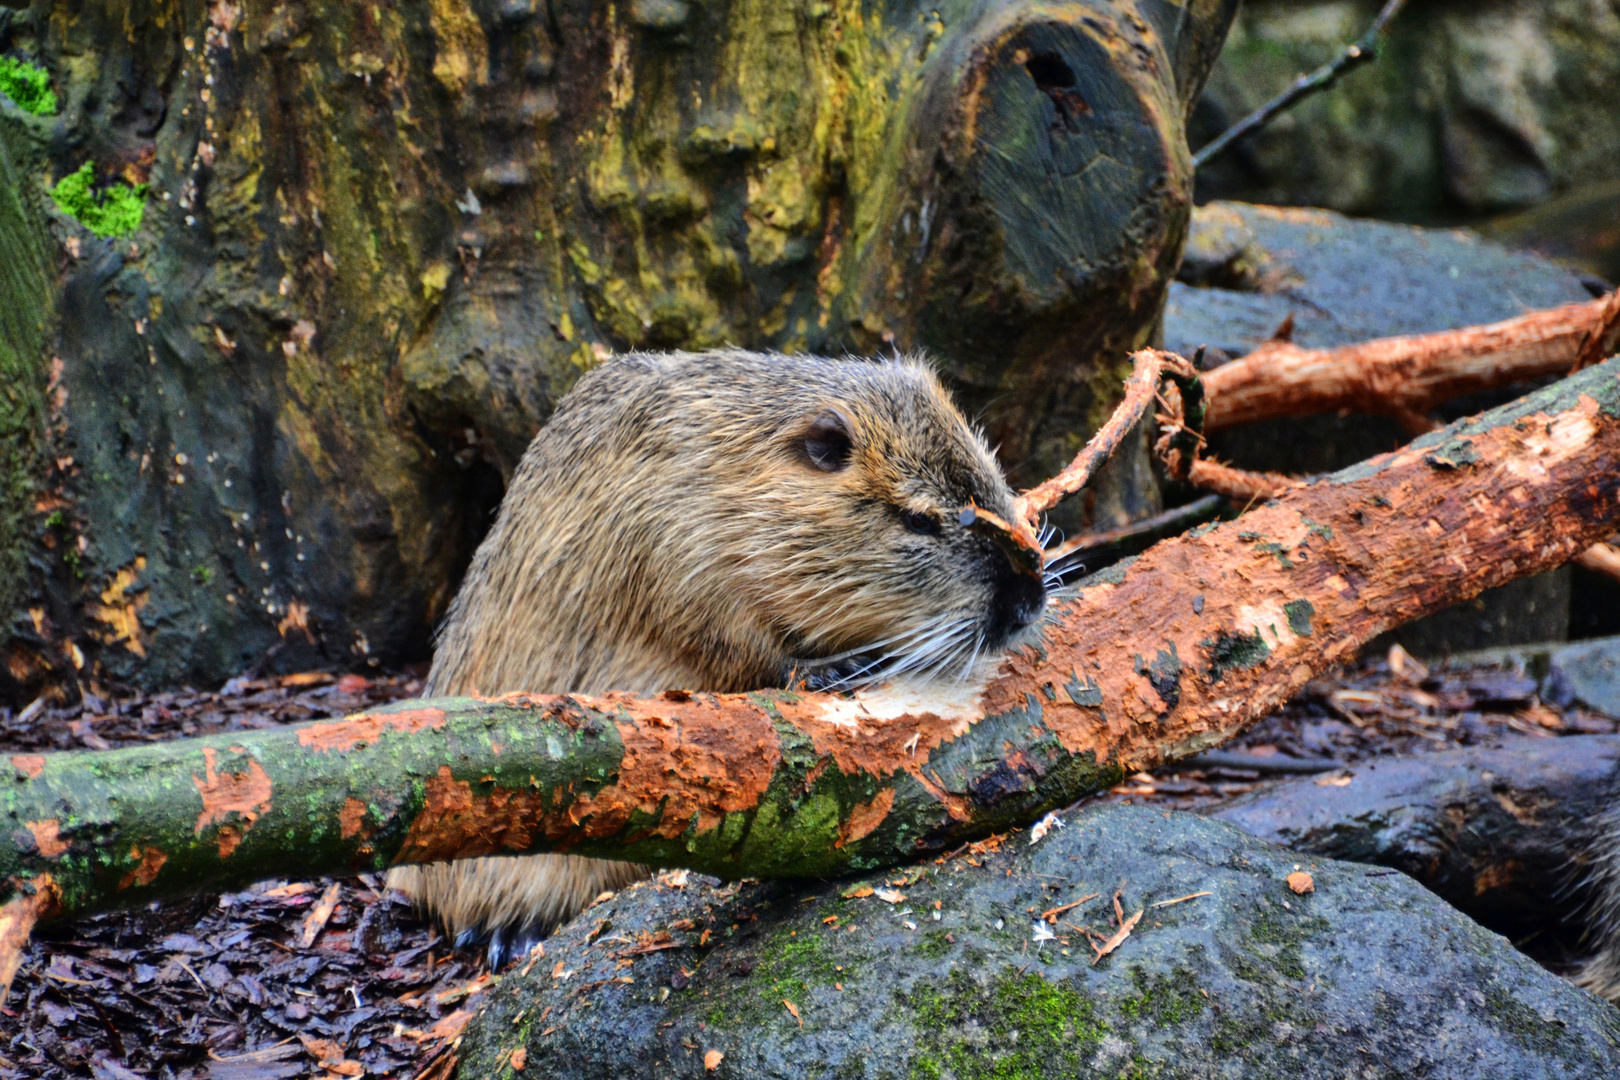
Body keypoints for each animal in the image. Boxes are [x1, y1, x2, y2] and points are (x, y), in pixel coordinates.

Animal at [392, 346, 1049, 965]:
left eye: (993, 473)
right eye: (919, 519)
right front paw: (834, 669)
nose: (1029, 599)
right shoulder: (679, 564)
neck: (718, 462)